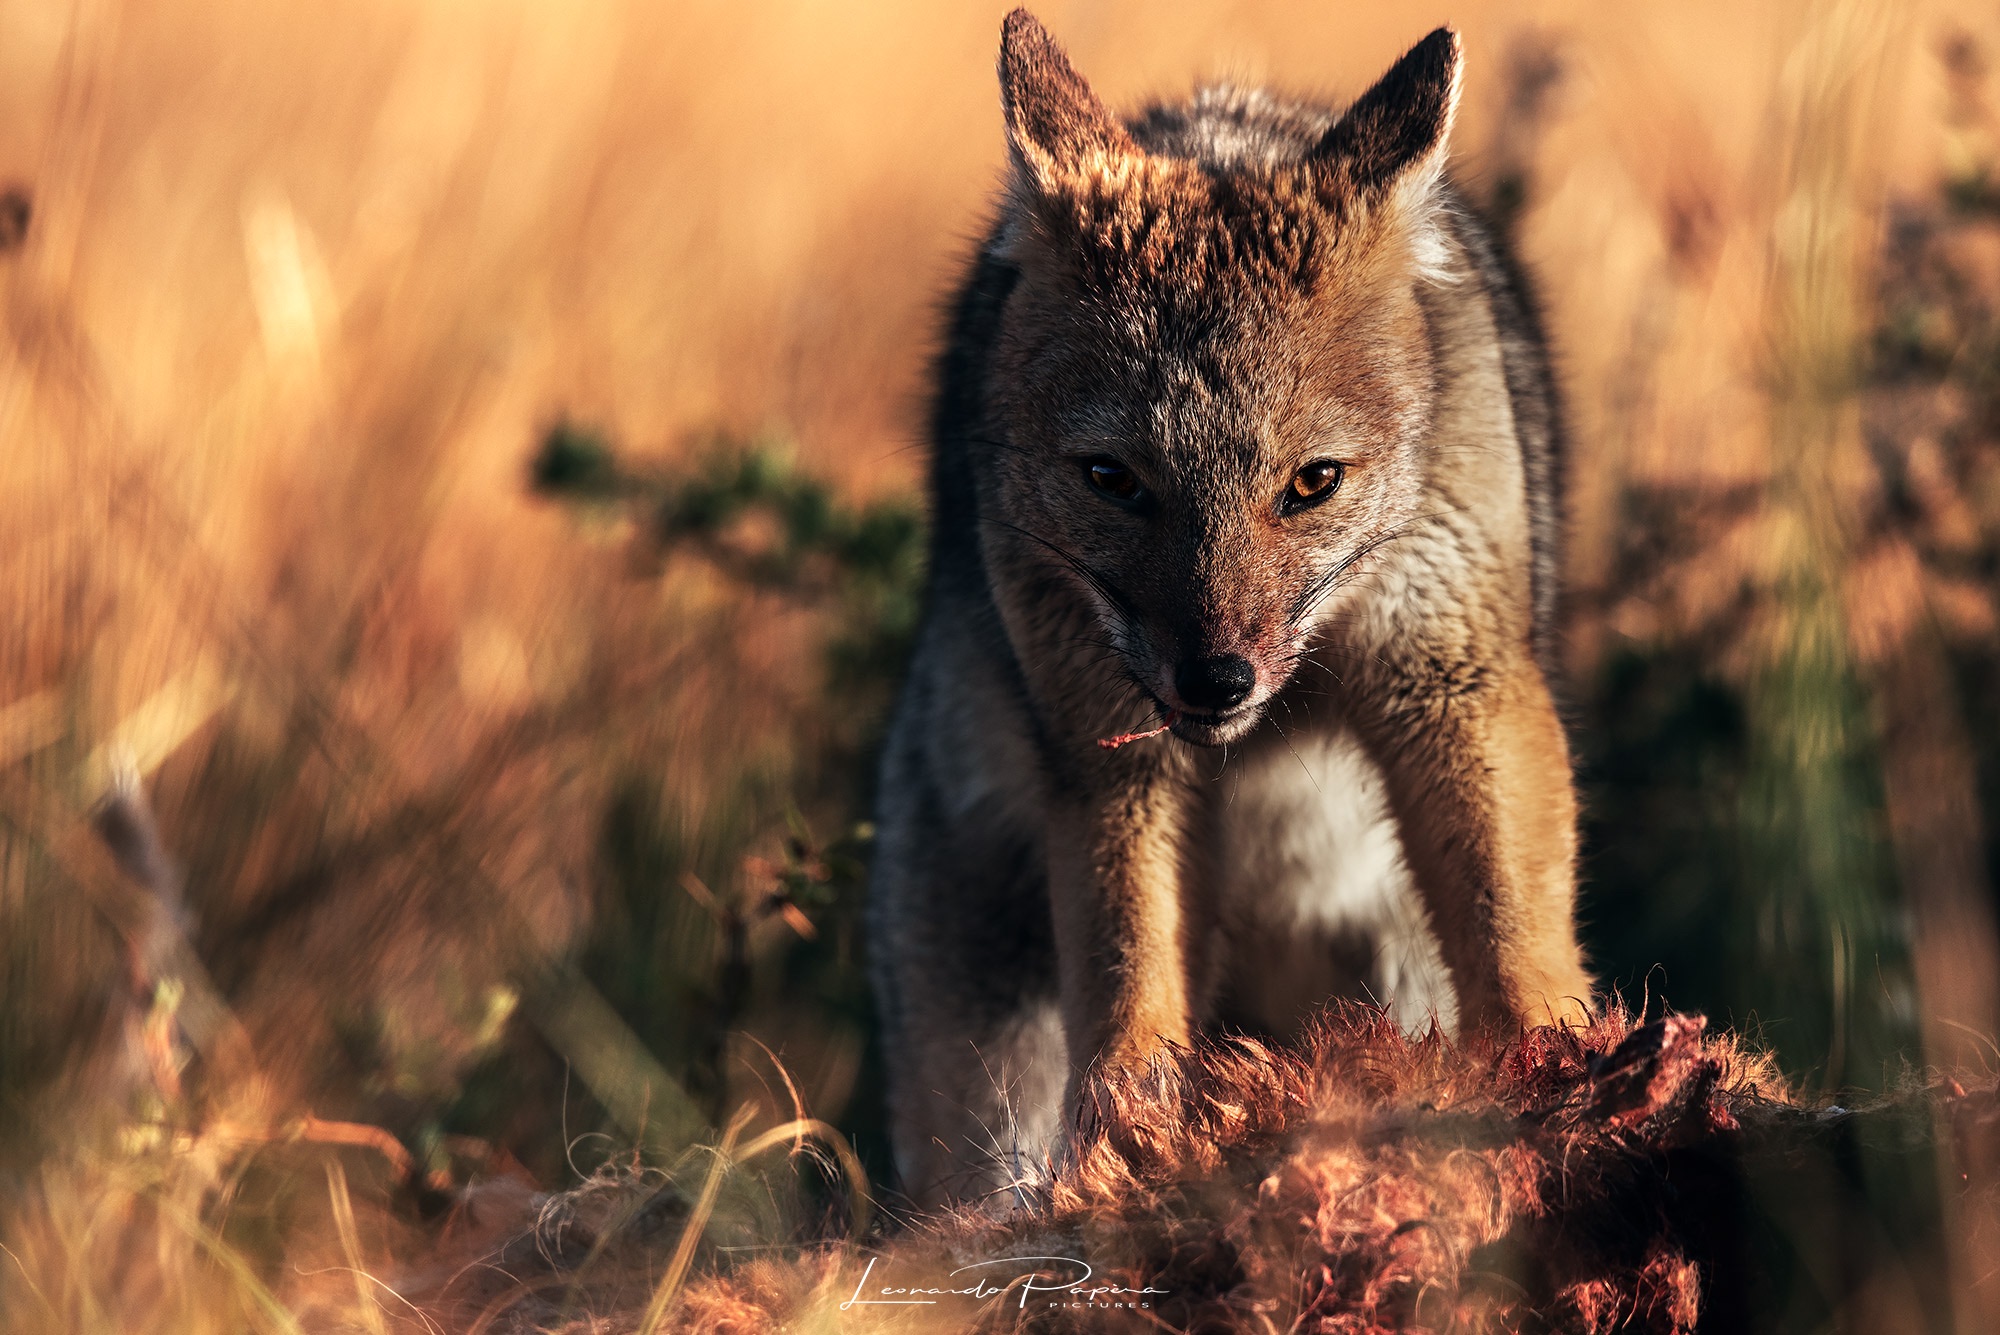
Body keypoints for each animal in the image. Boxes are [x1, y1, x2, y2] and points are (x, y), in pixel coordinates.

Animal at [867, 10, 1593, 1209]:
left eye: (1312, 483)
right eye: (1112, 480)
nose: (1214, 680)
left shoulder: (1454, 685)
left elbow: (1512, 930)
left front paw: (1572, 1080)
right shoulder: (1118, 752)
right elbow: (1131, 994)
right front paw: (1126, 1152)